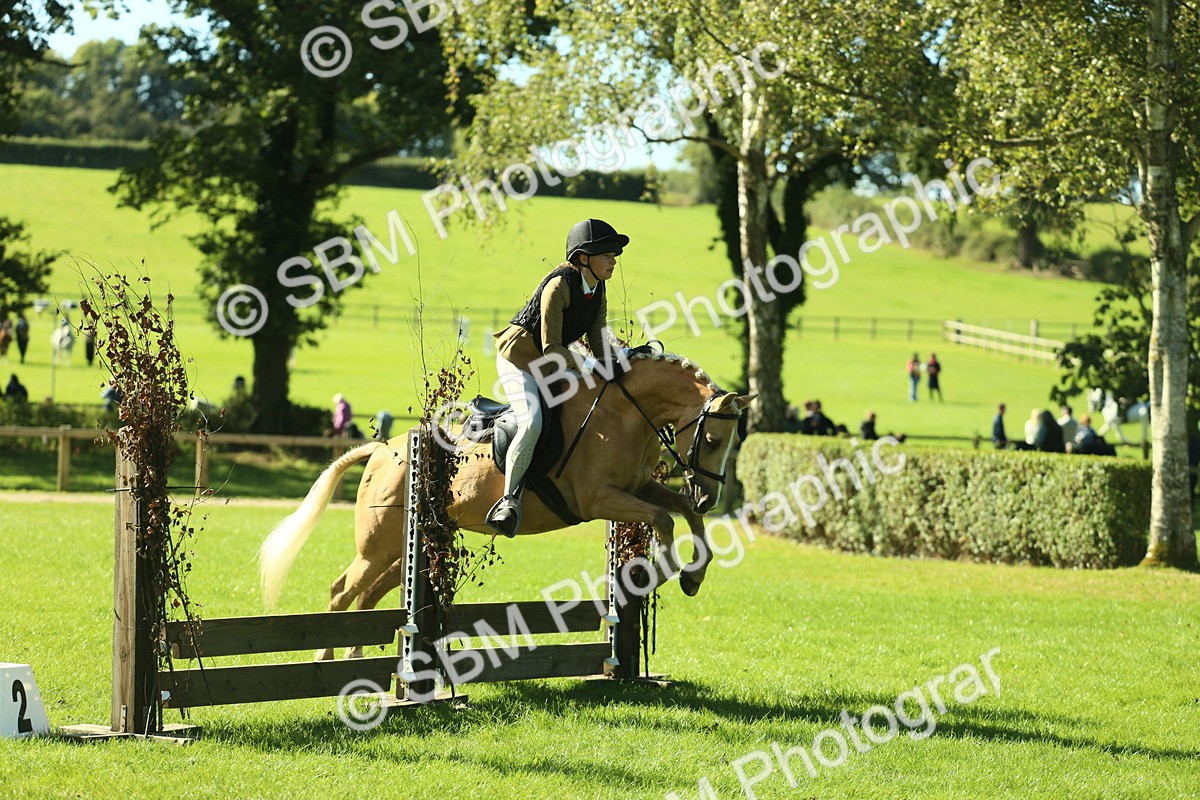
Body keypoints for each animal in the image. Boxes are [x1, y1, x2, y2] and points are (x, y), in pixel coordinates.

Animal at [259, 351, 754, 659]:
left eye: (733, 442)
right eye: (712, 440)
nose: (709, 497)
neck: (623, 414)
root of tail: (383, 449)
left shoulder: (640, 488)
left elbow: (682, 516)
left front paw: (693, 576)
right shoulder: (601, 499)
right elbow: (664, 520)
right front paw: (664, 570)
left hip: (405, 546)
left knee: (367, 594)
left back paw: (355, 655)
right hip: (377, 545)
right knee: (343, 589)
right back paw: (326, 655)